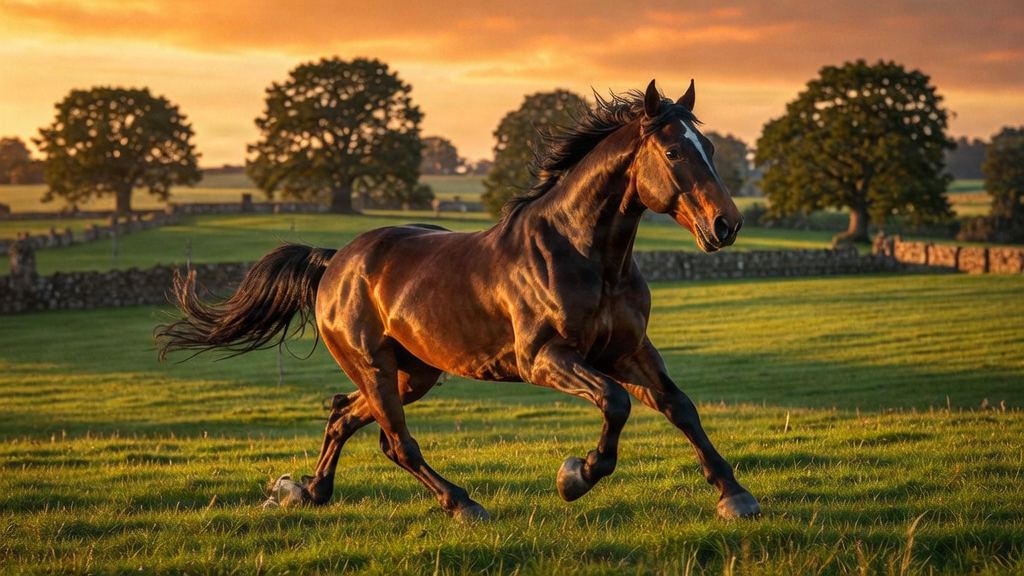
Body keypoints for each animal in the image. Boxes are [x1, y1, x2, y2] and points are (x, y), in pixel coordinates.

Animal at [156, 80, 760, 522]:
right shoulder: (544, 358)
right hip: (375, 366)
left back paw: (311, 492)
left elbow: (679, 406)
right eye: (674, 150)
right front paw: (575, 476)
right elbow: (616, 403)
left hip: (414, 372)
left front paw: (735, 496)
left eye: (710, 147)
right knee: (397, 442)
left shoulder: (628, 351)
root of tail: (336, 261)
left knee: (346, 417)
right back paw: (464, 504)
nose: (726, 225)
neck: (585, 255)